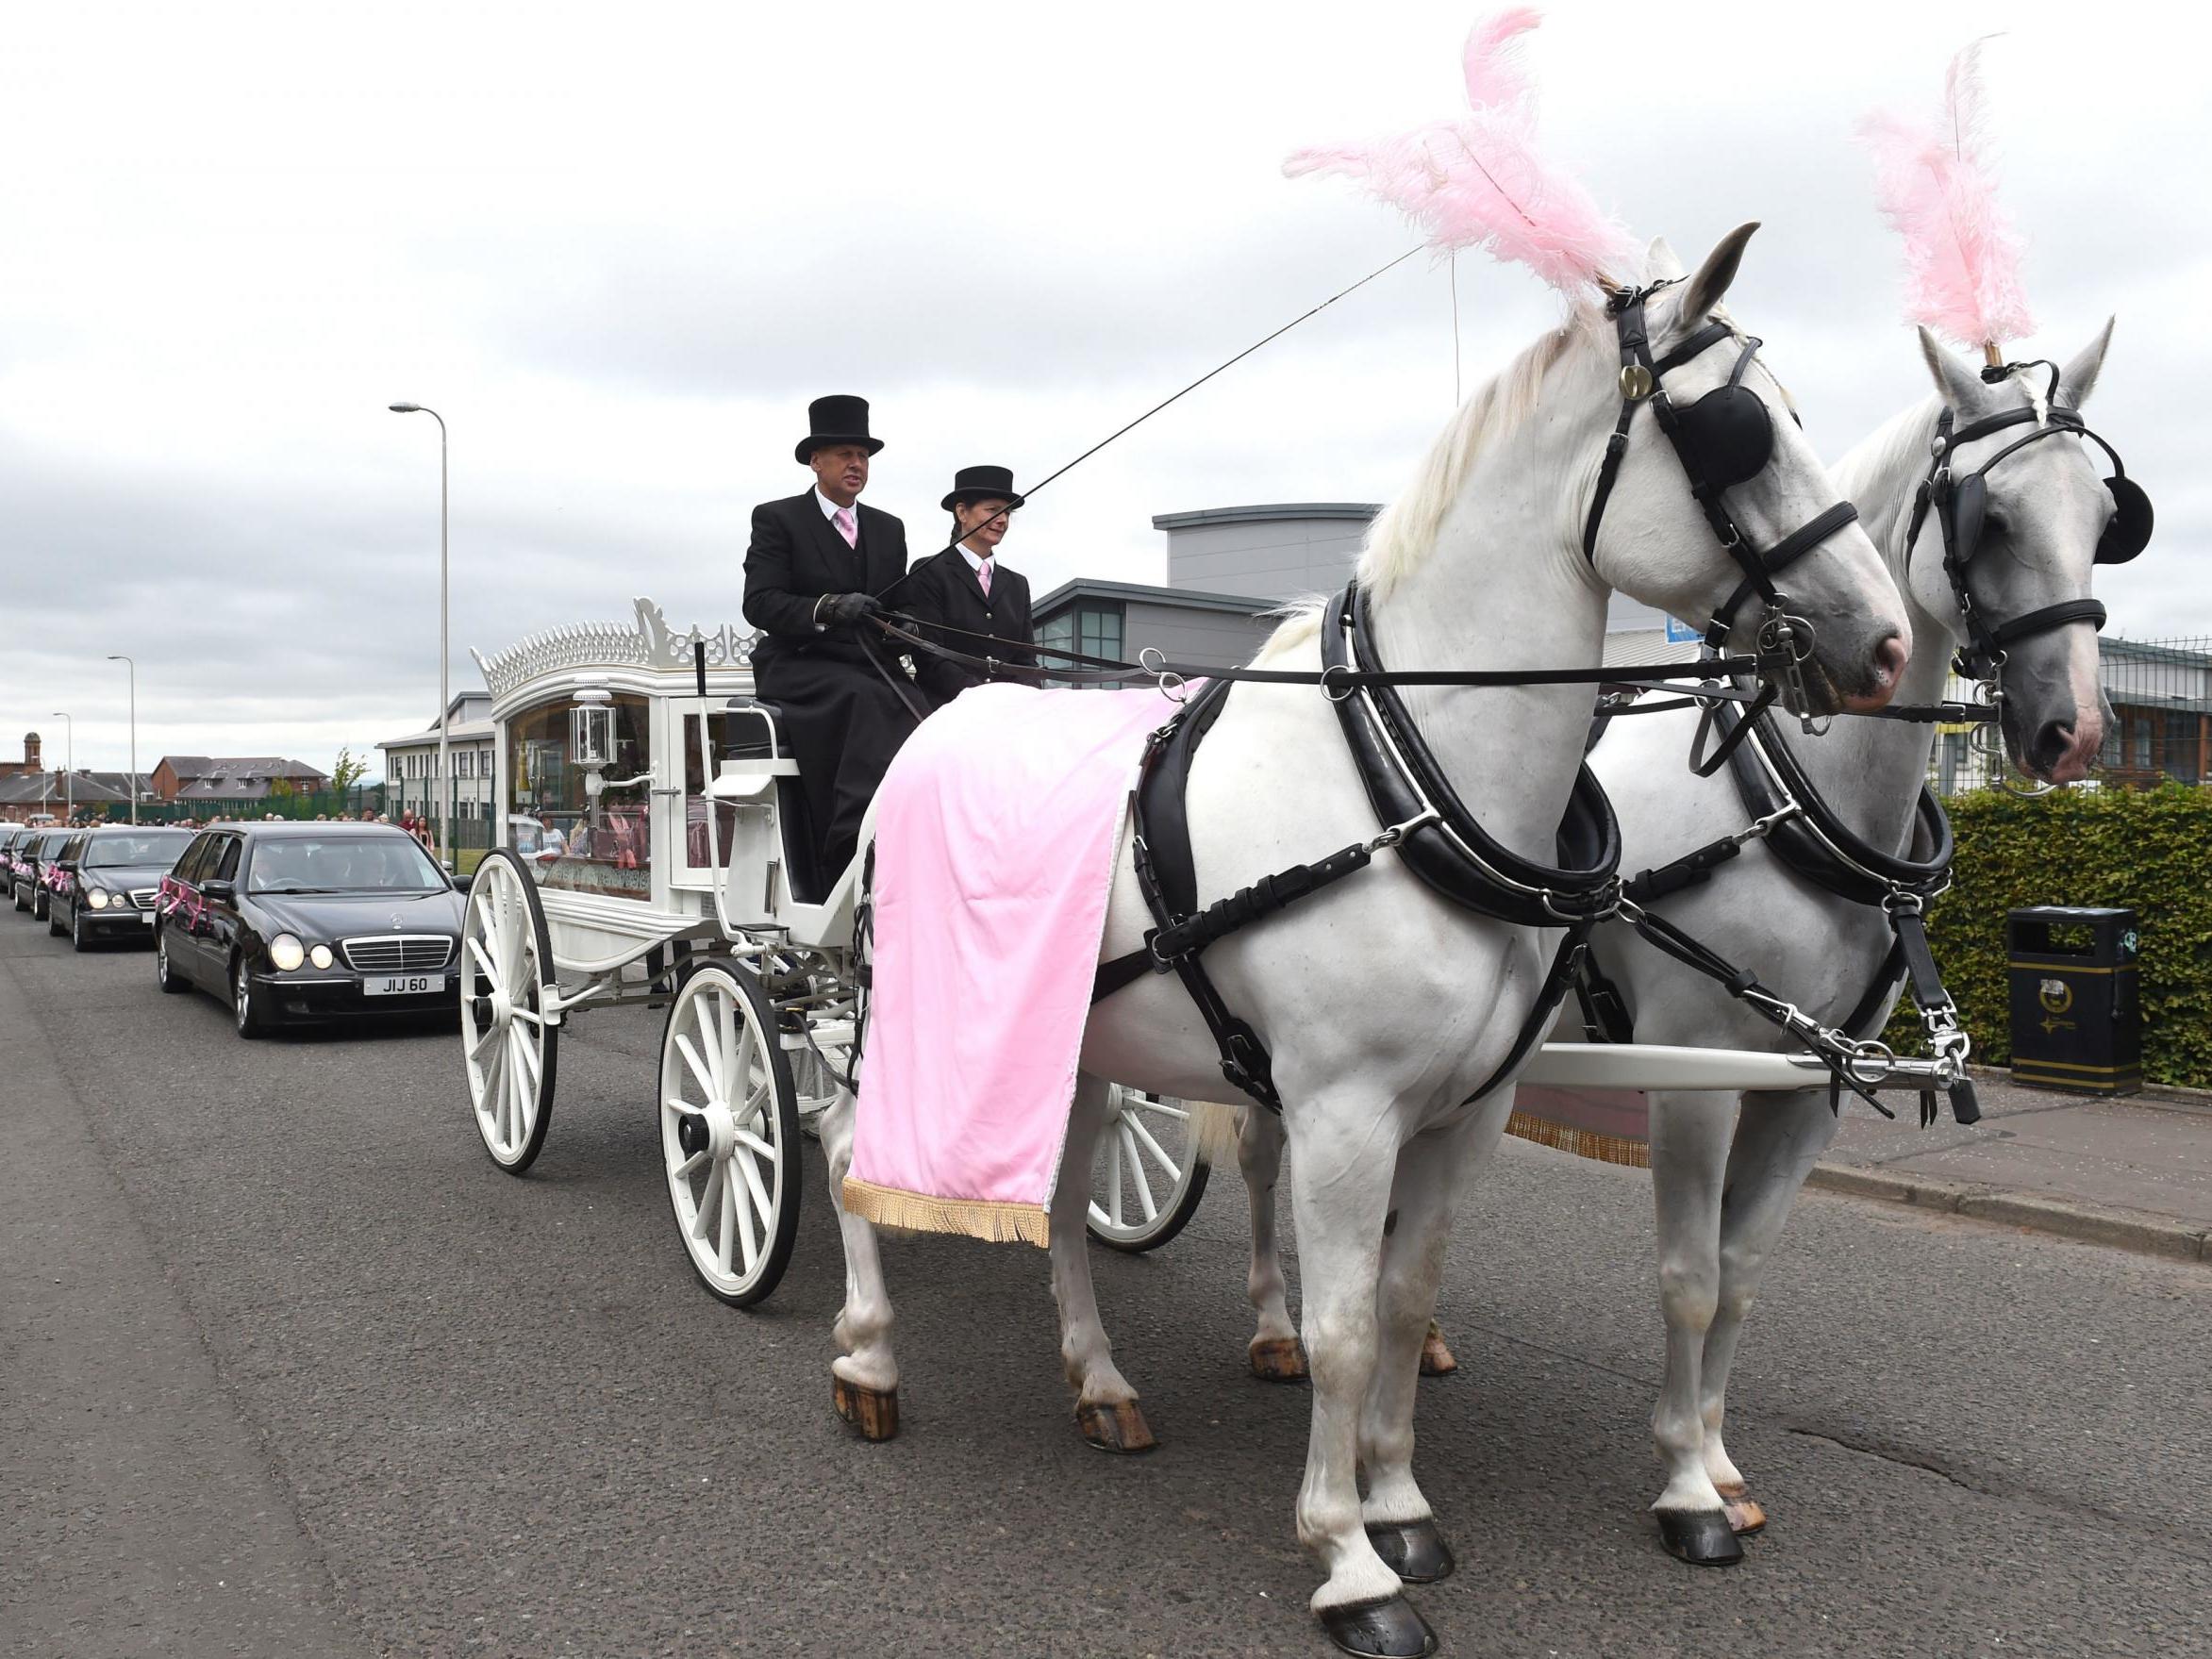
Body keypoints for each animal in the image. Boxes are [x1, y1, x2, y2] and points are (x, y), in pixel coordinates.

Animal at [823, 231, 1911, 1659]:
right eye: (1735, 431)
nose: (1883, 642)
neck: (1410, 780)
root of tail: (933, 726)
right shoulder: (1345, 1110)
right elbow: (1338, 1326)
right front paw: (1347, 1560)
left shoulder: (1466, 1110)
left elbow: (1402, 1297)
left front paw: (1398, 1502)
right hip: (904, 1012)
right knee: (844, 1147)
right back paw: (867, 1353)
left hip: (1074, 1040)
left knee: (1055, 1195)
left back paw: (1099, 1380)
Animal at [1229, 318, 2123, 1574]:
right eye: (1986, 517)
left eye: (2103, 514)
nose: (2071, 730)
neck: (1785, 797)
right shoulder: (1697, 1073)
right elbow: (1690, 1280)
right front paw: (1683, 1485)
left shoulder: (1805, 1087)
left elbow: (1741, 1278)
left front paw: (1719, 1457)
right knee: (1260, 1158)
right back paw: (1271, 1325)